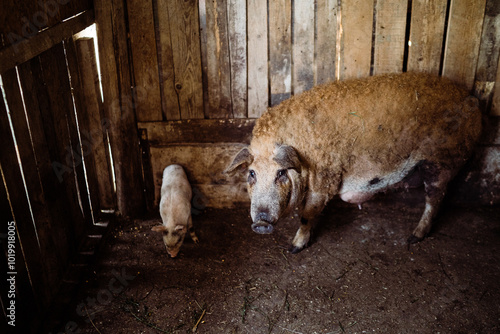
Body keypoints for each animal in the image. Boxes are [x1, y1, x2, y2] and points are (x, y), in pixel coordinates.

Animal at [226, 71, 480, 253]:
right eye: (251, 173)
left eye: (280, 173)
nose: (261, 222)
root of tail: (472, 101)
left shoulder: (325, 178)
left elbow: (307, 214)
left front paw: (294, 248)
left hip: (442, 161)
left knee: (434, 200)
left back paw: (413, 237)